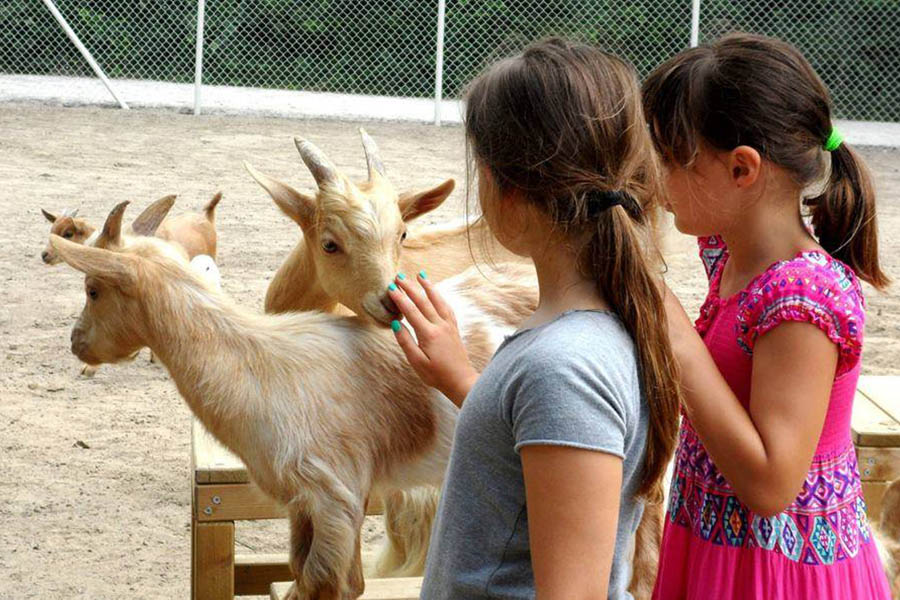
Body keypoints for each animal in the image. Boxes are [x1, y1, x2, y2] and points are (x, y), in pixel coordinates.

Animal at [51, 203, 536, 600]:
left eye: (92, 289)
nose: (77, 342)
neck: (262, 369)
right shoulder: (313, 502)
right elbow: (315, 575)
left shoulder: (333, 493)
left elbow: (323, 582)